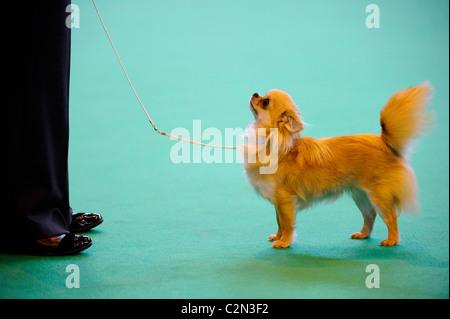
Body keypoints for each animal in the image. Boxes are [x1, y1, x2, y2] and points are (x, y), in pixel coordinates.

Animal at [244, 84, 434, 249]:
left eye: (265, 102)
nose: (254, 93)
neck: (270, 142)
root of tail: (384, 143)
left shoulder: (285, 200)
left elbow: (287, 223)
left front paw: (284, 242)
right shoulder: (278, 201)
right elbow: (279, 221)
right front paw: (278, 236)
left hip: (379, 196)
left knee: (391, 218)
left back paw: (392, 240)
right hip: (361, 195)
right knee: (370, 215)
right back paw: (363, 234)